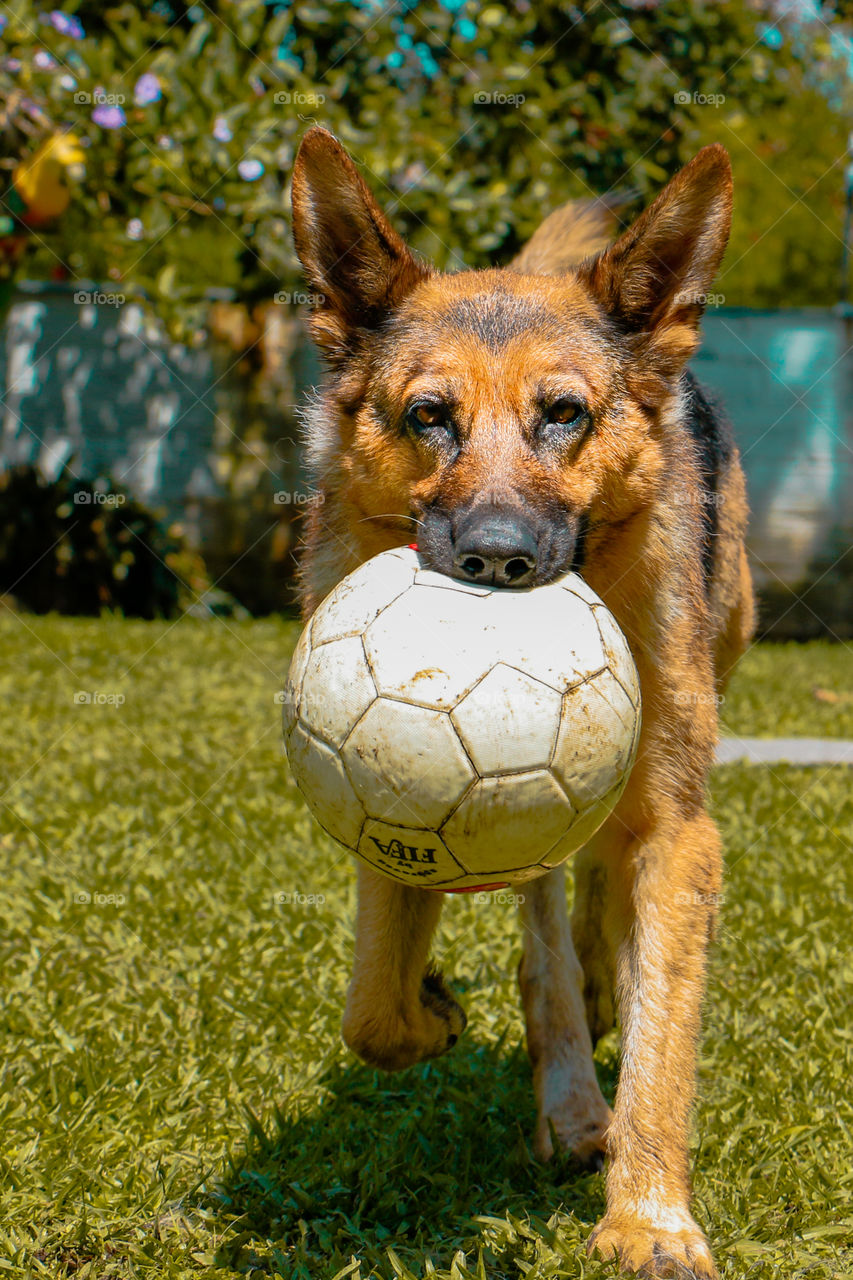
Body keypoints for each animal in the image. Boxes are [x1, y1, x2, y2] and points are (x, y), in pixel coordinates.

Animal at [290, 122, 753, 1280]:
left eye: (563, 415)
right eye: (428, 417)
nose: (495, 559)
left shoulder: (682, 830)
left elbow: (665, 1036)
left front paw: (648, 1218)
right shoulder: (388, 817)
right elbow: (373, 1009)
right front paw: (434, 1014)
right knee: (546, 920)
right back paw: (569, 1090)